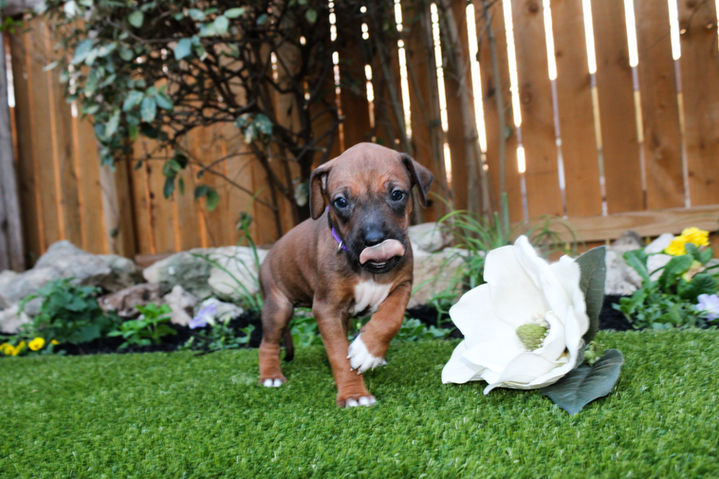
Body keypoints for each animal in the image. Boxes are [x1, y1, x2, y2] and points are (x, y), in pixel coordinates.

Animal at [258, 142, 433, 407]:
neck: (368, 270)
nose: (374, 240)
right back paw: (271, 376)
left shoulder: (403, 285)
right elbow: (339, 355)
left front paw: (369, 351)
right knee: (267, 342)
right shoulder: (327, 309)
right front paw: (354, 394)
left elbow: (391, 318)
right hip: (278, 306)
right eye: (340, 201)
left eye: (396, 194)